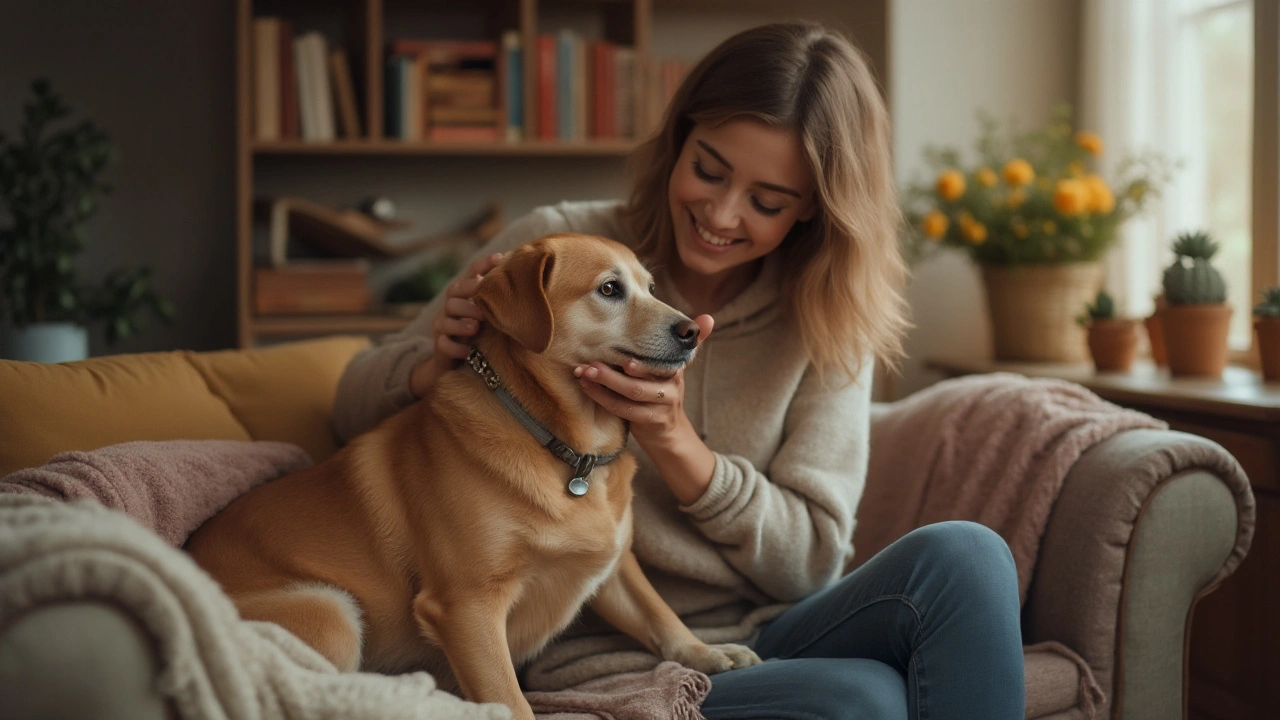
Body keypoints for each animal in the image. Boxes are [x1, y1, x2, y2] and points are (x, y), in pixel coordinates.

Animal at [185, 233, 752, 712]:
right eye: (610, 289)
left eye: (651, 289)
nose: (692, 331)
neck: (567, 448)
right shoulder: (466, 607)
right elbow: (509, 701)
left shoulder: (612, 567)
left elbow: (659, 613)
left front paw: (704, 651)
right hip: (332, 614)